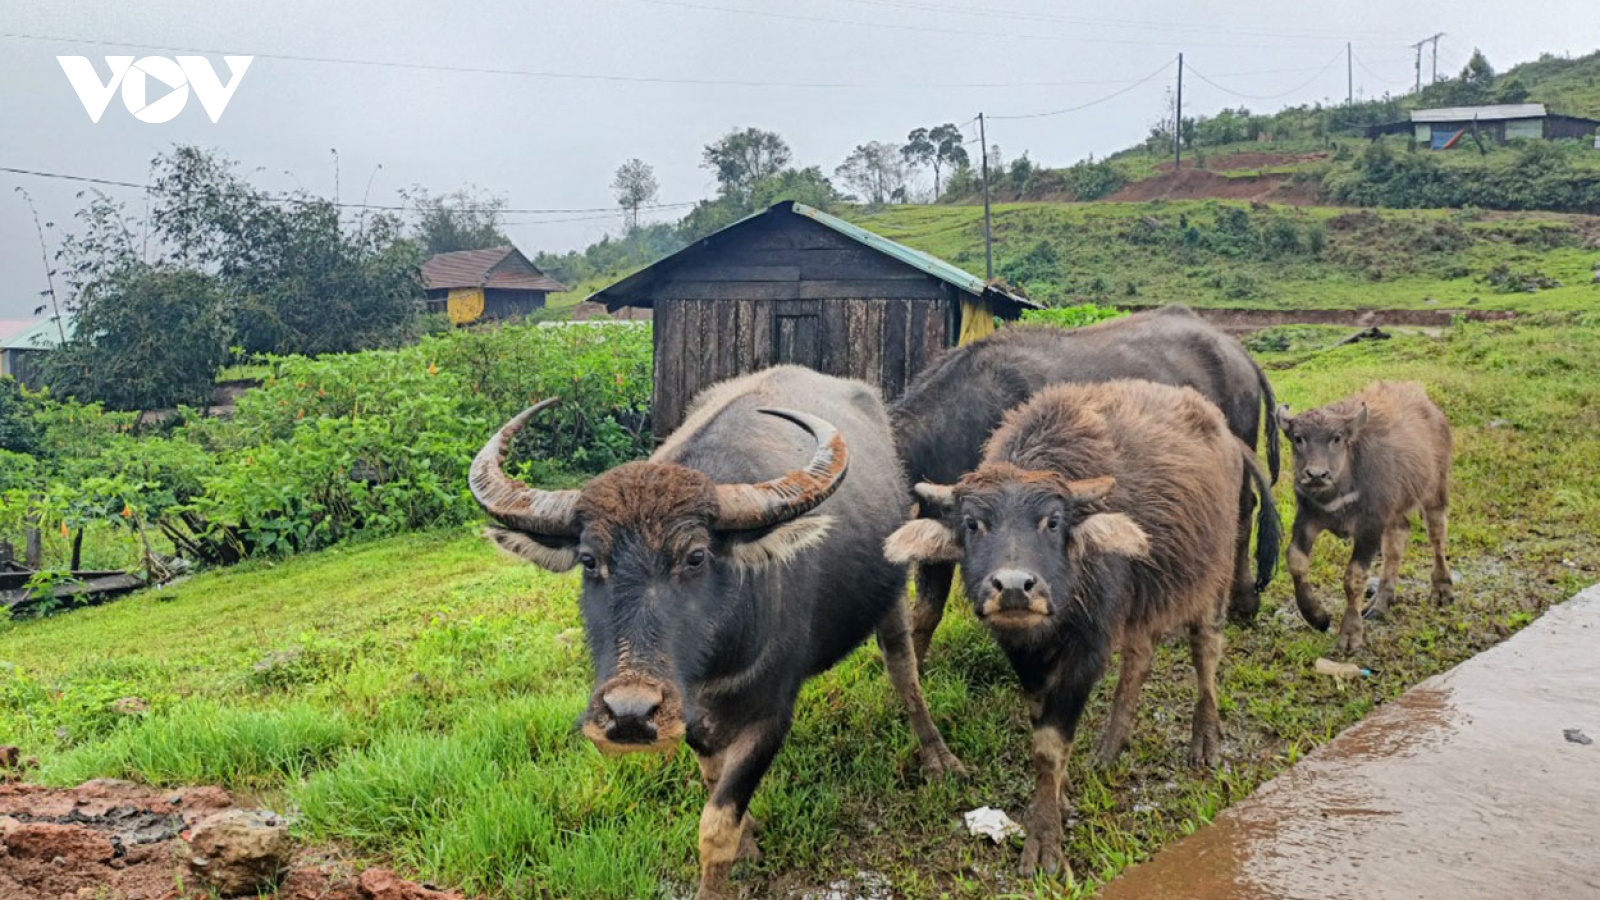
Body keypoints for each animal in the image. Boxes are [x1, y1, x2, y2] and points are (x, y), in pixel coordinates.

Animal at [467, 361, 953, 896]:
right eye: (590, 561)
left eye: (696, 556)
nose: (629, 714)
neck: (710, 665)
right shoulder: (689, 719)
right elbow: (712, 780)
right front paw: (750, 838)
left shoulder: (771, 716)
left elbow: (716, 824)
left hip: (890, 593)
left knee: (904, 669)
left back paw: (937, 756)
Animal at [883, 376, 1280, 877]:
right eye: (973, 524)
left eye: (1052, 521)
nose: (1014, 587)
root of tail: (1227, 436)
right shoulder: (1026, 657)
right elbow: (1043, 730)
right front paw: (1063, 792)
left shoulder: (1089, 648)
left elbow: (1050, 744)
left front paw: (1044, 841)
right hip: (1142, 597)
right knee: (1139, 659)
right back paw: (1111, 746)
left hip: (1214, 571)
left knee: (1205, 648)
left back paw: (1205, 739)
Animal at [1280, 377, 1459, 650]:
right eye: (1298, 438)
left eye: (1337, 438)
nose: (1316, 475)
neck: (1338, 492)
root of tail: (1430, 406)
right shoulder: (1307, 517)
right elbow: (1296, 560)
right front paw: (1316, 616)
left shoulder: (1370, 527)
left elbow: (1354, 577)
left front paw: (1350, 635)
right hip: (1395, 510)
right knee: (1398, 539)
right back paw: (1380, 604)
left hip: (1435, 488)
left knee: (1437, 534)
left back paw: (1441, 590)